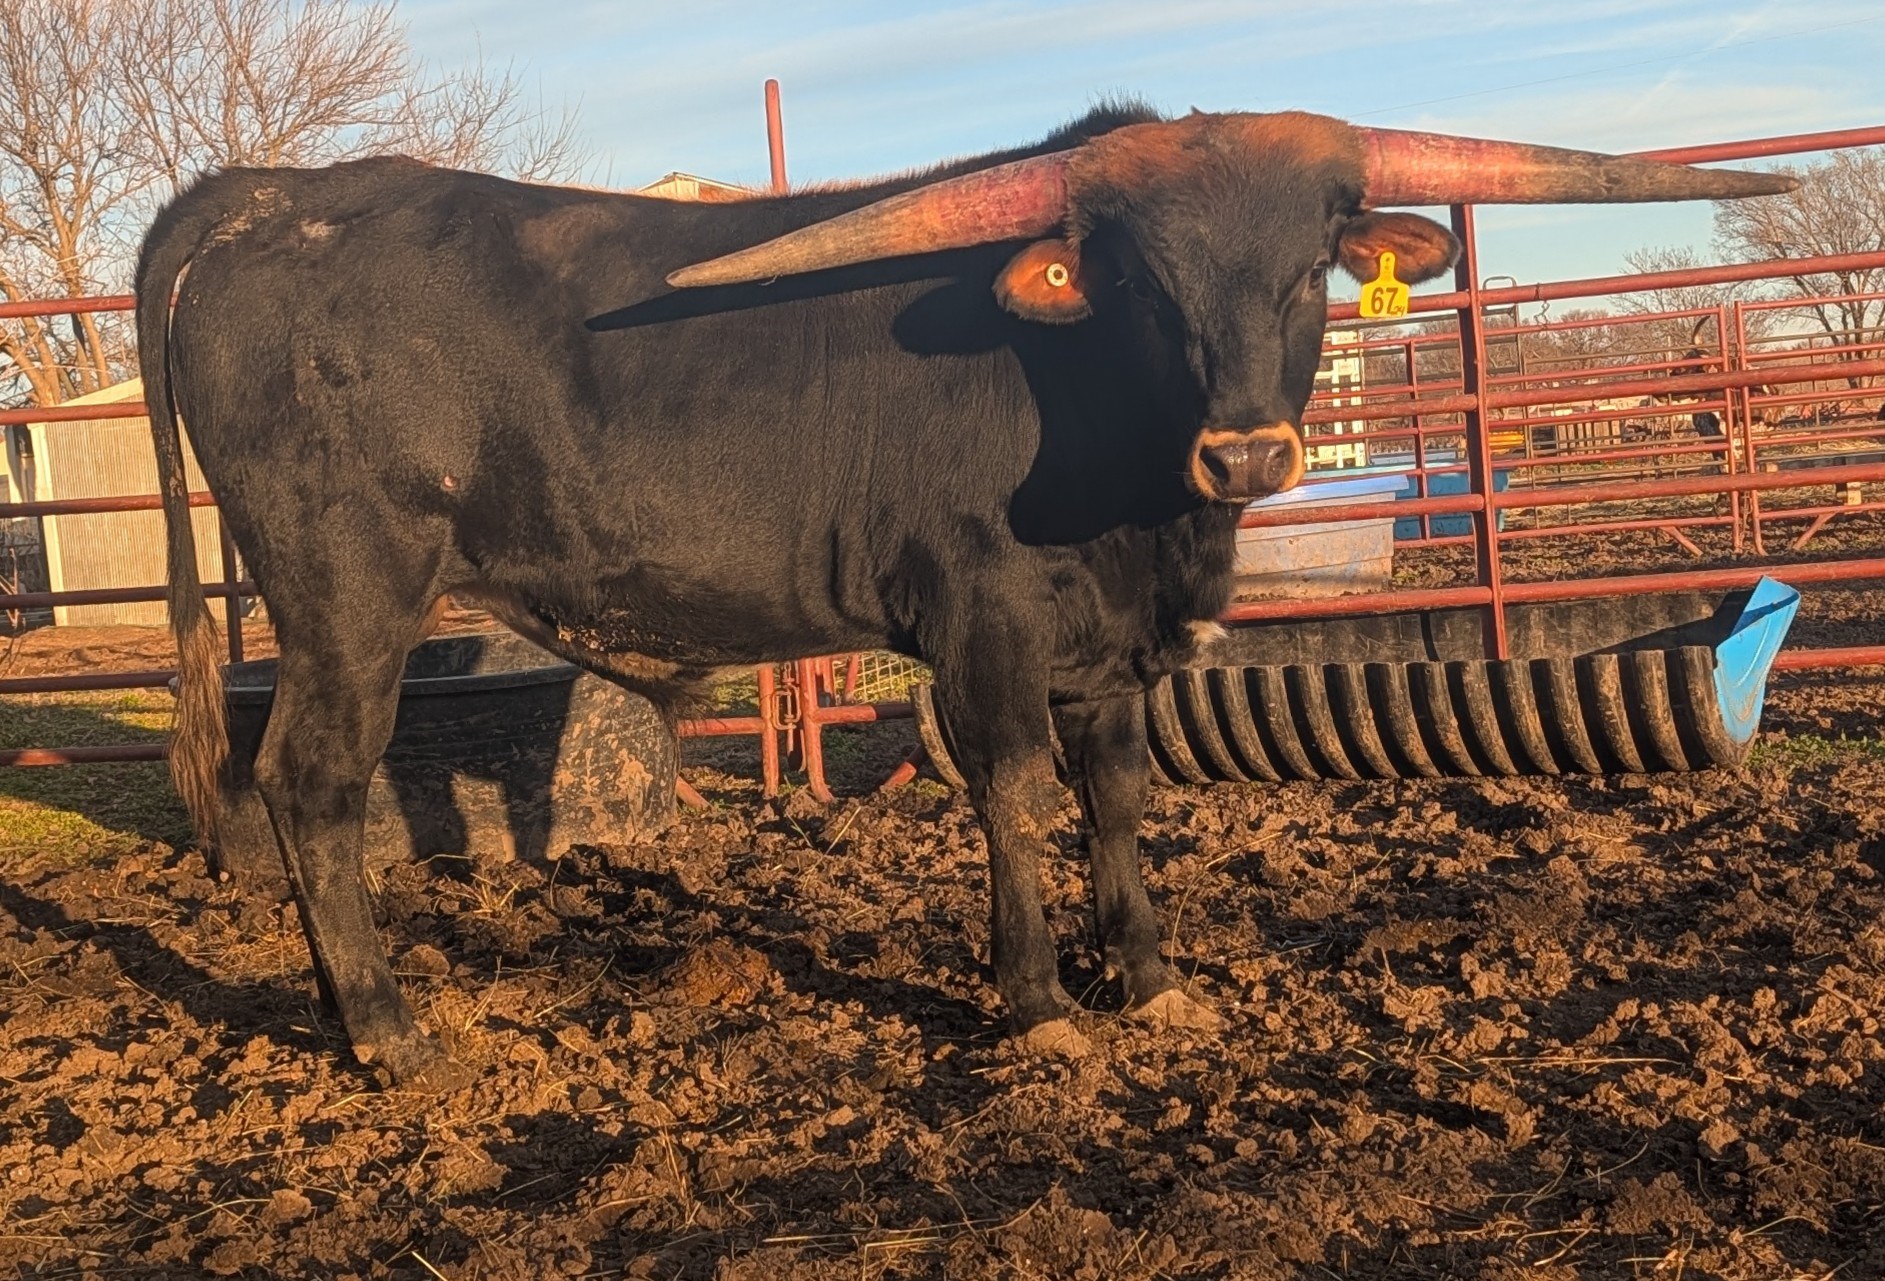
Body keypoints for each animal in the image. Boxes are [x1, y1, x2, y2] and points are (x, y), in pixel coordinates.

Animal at [136, 104, 1792, 1087]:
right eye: (1140, 281)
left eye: (1309, 269)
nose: (1251, 449)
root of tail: (270, 198)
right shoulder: (982, 629)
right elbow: (1008, 793)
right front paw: (1040, 998)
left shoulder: (1116, 656)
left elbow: (1116, 796)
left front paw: (1148, 977)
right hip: (350, 587)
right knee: (310, 783)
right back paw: (386, 1028)